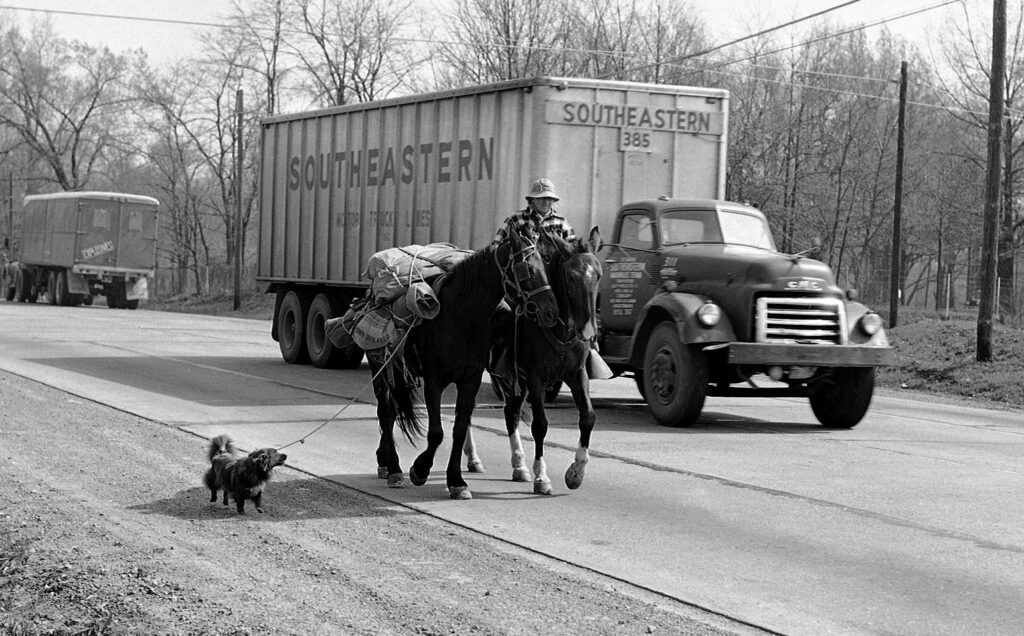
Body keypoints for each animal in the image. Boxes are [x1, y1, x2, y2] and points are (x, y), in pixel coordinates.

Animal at [370, 225, 561, 497]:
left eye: (545, 267)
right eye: (527, 270)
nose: (551, 313)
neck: (461, 317)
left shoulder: (470, 380)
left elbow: (459, 429)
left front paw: (456, 481)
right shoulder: (434, 381)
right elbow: (436, 432)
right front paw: (420, 470)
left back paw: (385, 461)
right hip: (382, 369)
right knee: (386, 411)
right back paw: (394, 468)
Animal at [491, 228, 602, 495]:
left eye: (598, 275)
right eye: (571, 277)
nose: (589, 330)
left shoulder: (577, 374)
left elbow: (588, 417)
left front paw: (576, 473)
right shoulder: (535, 378)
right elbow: (540, 425)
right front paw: (542, 477)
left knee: (510, 412)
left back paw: (519, 466)